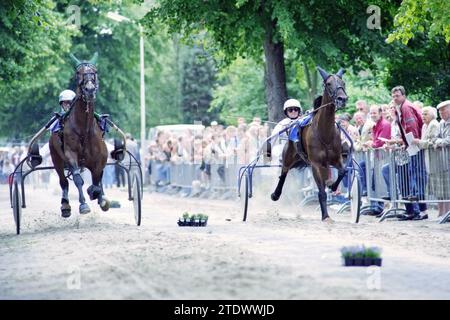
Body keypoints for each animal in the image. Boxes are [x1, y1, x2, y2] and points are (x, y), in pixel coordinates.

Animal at [49, 53, 110, 218]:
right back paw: (65, 205)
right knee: (63, 181)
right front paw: (83, 205)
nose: (89, 89)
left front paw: (98, 195)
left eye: (95, 71)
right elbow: (77, 179)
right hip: (56, 158)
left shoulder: (101, 157)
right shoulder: (70, 154)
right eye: (78, 73)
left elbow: (97, 180)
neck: (84, 129)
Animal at [270, 67, 348, 222]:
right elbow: (321, 192)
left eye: (343, 82)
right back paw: (276, 194)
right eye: (328, 83)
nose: (342, 99)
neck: (325, 133)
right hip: (289, 157)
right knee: (283, 172)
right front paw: (325, 216)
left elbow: (343, 171)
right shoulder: (315, 164)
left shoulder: (336, 159)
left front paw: (332, 186)